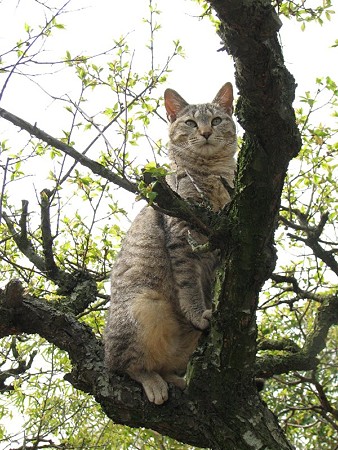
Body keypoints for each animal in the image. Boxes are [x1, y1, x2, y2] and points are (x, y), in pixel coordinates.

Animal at [104, 82, 236, 406]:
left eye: (216, 120)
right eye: (190, 123)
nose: (206, 132)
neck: (211, 175)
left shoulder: (220, 246)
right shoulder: (182, 236)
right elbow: (189, 285)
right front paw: (198, 312)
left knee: (161, 366)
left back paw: (176, 379)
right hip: (143, 306)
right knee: (124, 365)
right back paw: (153, 382)